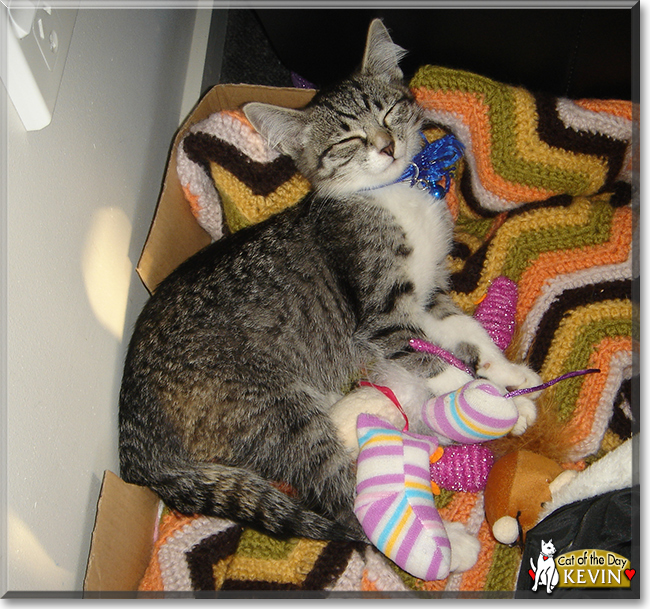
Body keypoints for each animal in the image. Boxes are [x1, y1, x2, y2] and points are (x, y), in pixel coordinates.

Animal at [119, 21, 540, 548]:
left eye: (388, 111)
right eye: (348, 139)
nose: (386, 145)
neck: (391, 194)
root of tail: (132, 438)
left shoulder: (429, 296)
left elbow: (469, 332)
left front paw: (508, 379)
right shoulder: (381, 315)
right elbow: (433, 362)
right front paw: (479, 399)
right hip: (276, 411)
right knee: (339, 500)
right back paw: (440, 546)